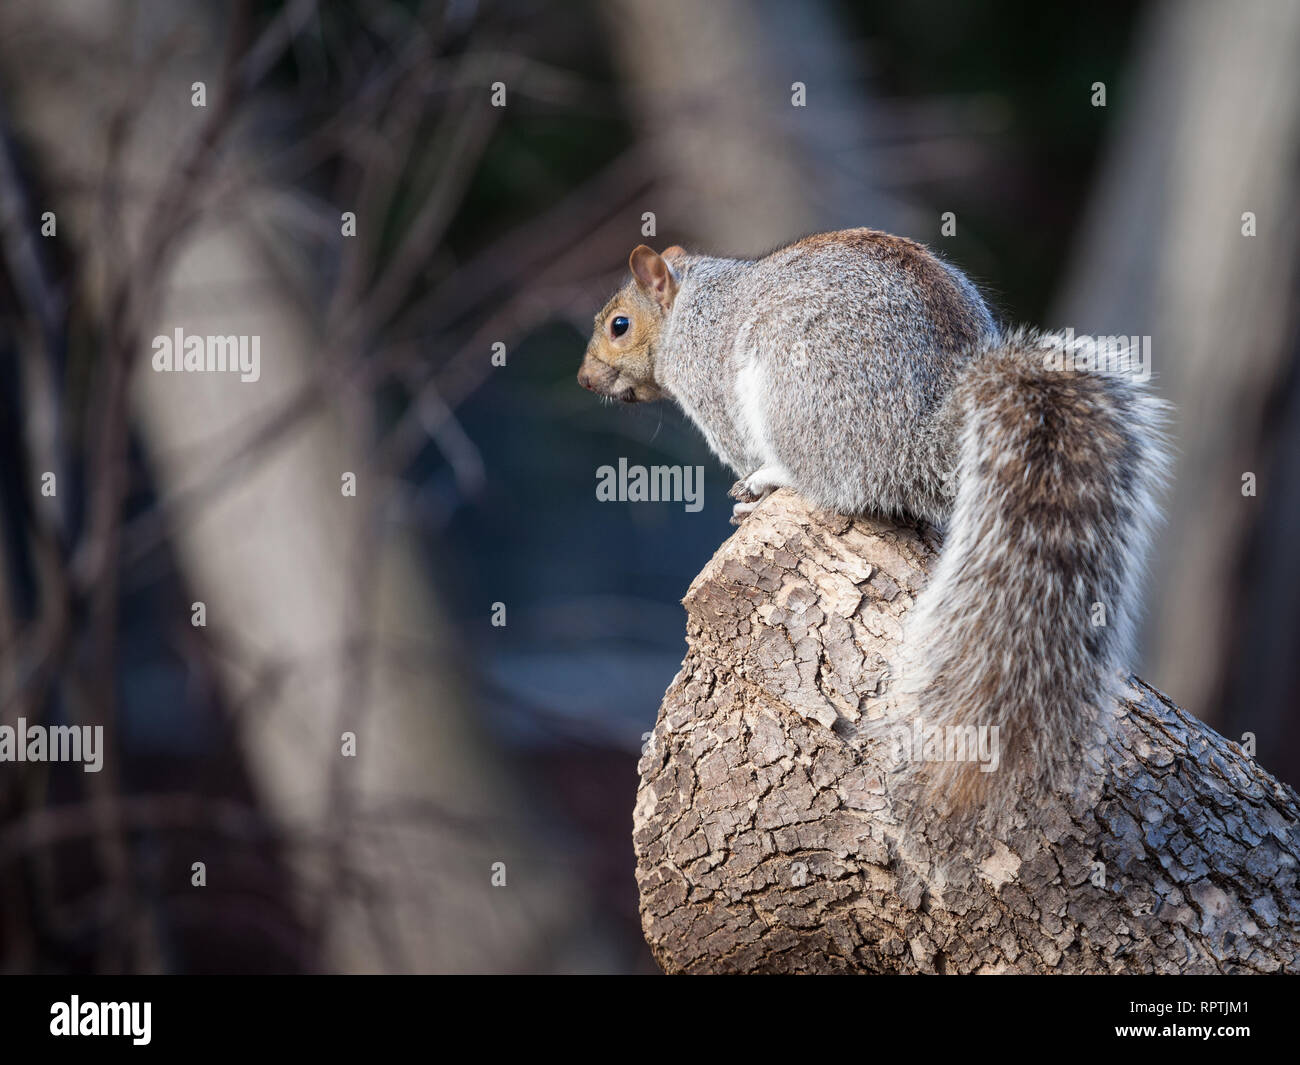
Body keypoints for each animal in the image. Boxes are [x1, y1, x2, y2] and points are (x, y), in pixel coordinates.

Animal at [578, 228, 1168, 838]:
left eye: (619, 324)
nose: (583, 379)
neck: (690, 301)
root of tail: (917, 439)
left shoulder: (709, 385)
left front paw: (748, 489)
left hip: (800, 394)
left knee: (827, 479)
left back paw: (773, 478)